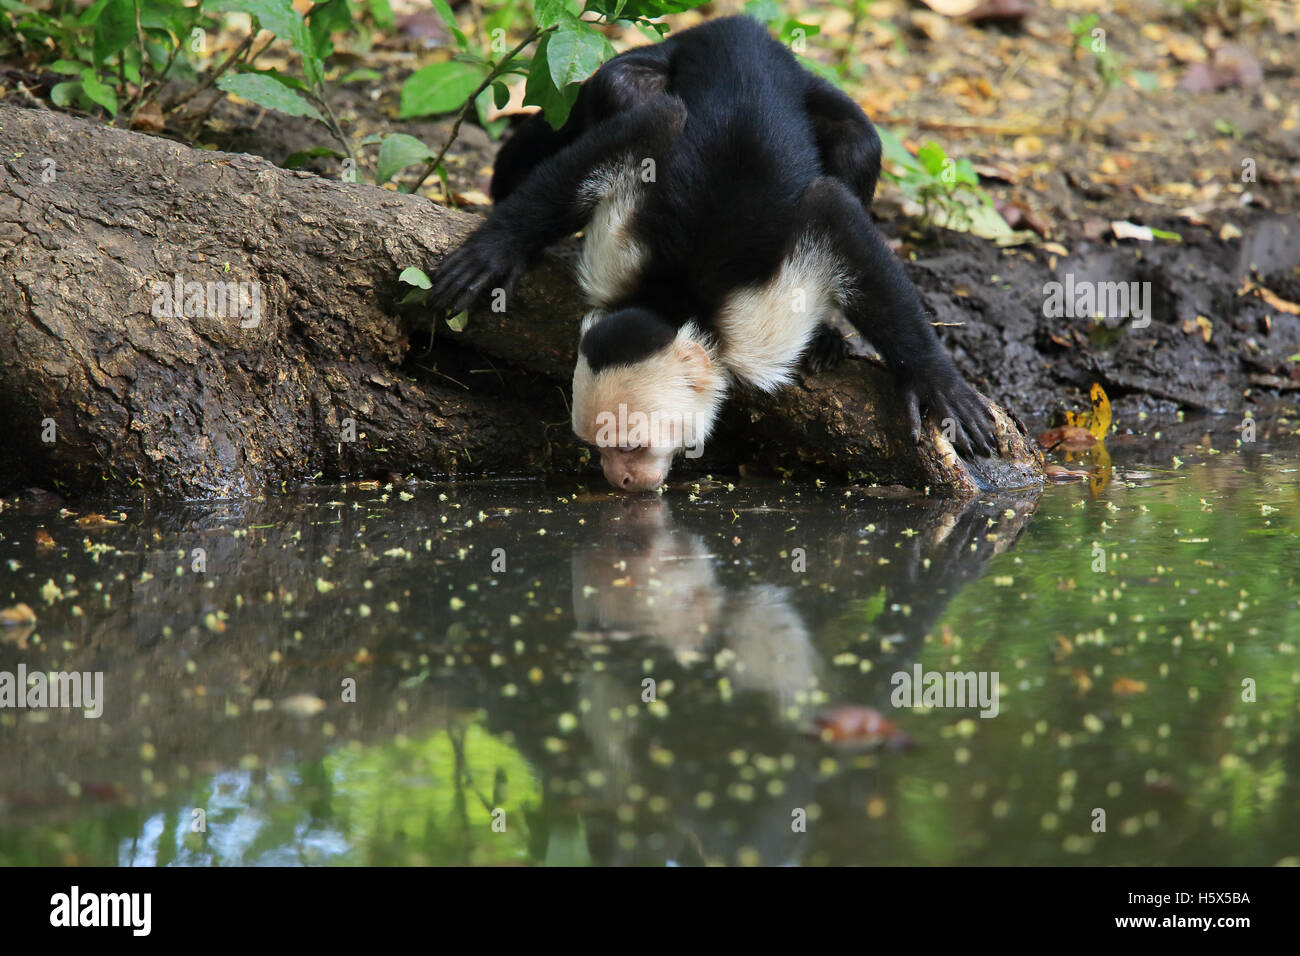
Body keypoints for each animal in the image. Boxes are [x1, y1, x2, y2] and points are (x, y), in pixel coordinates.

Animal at [428, 13, 993, 494]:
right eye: (595, 447)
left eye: (632, 446)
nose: (618, 480)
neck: (675, 298)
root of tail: (737, 26)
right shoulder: (615, 250)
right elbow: (648, 126)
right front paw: (499, 247)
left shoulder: (764, 329)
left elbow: (832, 211)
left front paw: (933, 378)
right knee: (621, 87)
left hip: (809, 85)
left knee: (859, 142)